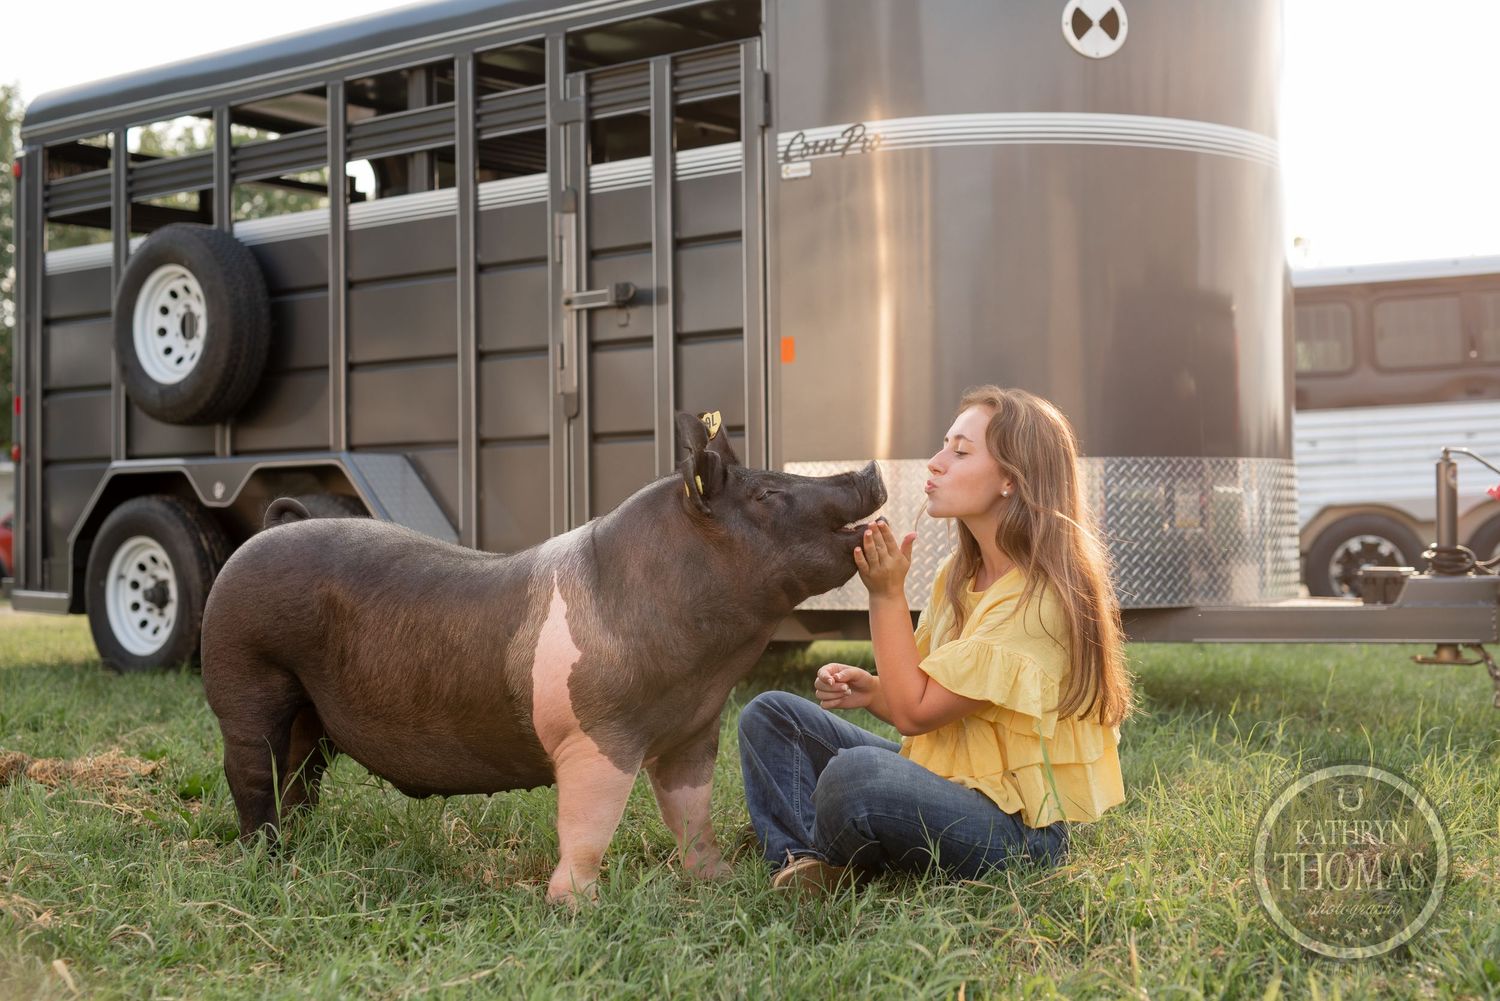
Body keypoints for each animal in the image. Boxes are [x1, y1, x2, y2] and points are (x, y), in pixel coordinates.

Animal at [200, 411, 886, 903]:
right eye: (766, 493)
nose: (871, 470)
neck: (705, 669)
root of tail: (274, 526)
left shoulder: (691, 732)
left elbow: (691, 811)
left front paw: (715, 883)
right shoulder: (597, 735)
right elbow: (588, 824)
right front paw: (576, 906)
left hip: (311, 710)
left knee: (300, 773)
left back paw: (302, 845)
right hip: (244, 671)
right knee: (251, 770)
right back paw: (267, 858)